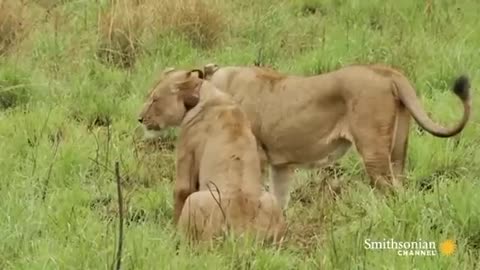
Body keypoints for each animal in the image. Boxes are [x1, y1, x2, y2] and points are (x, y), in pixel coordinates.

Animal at [136, 67, 284, 243]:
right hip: (272, 201)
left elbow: (180, 193)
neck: (203, 95)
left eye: (155, 99)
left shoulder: (186, 154)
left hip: (194, 201)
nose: (140, 118)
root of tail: (242, 231)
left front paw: (170, 234)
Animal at [200, 62, 472, 209]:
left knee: (391, 192)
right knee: (401, 184)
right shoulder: (281, 165)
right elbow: (279, 198)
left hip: (373, 150)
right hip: (398, 149)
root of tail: (386, 71)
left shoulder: (257, 156)